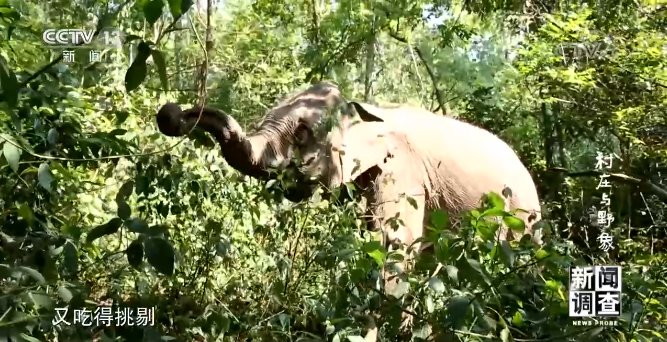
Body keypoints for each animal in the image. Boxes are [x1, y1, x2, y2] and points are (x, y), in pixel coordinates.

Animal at [155, 81, 544, 340]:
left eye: (302, 132)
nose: (170, 113)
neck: (367, 110)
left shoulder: (403, 170)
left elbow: (394, 245)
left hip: (521, 223)